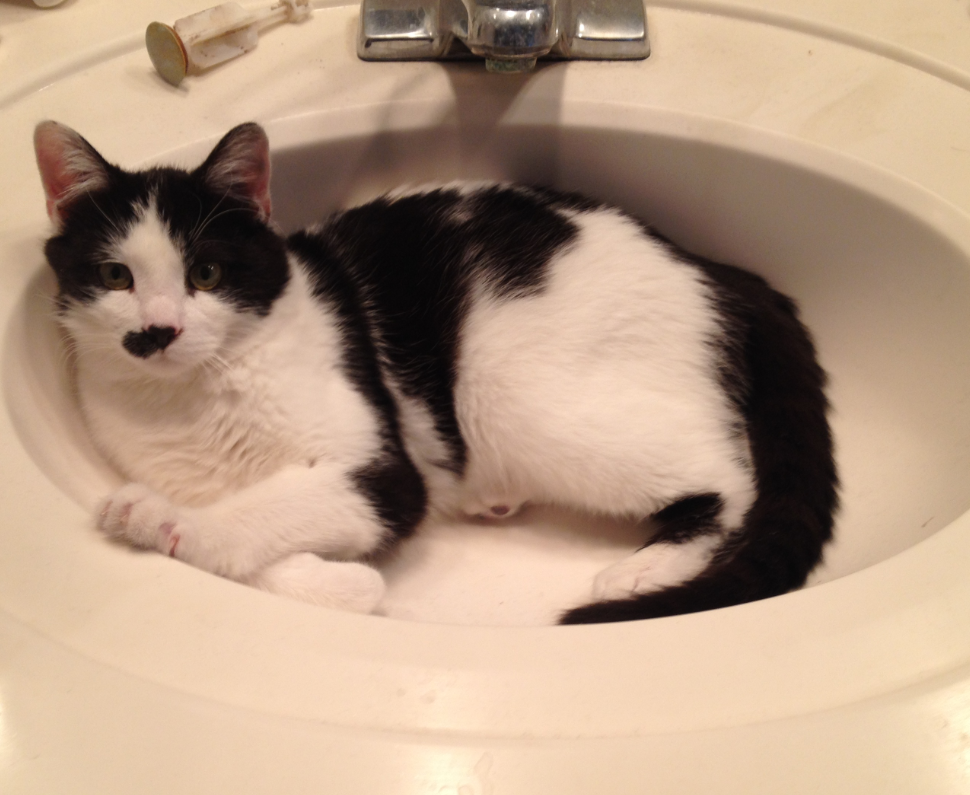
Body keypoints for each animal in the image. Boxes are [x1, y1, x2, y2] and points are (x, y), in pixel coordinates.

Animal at [33, 120, 838, 624]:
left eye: (205, 272)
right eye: (114, 276)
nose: (157, 330)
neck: (196, 397)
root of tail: (711, 266)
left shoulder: (385, 473)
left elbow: (268, 508)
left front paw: (161, 520)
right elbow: (269, 542)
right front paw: (343, 584)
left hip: (517, 392)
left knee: (728, 477)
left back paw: (645, 571)